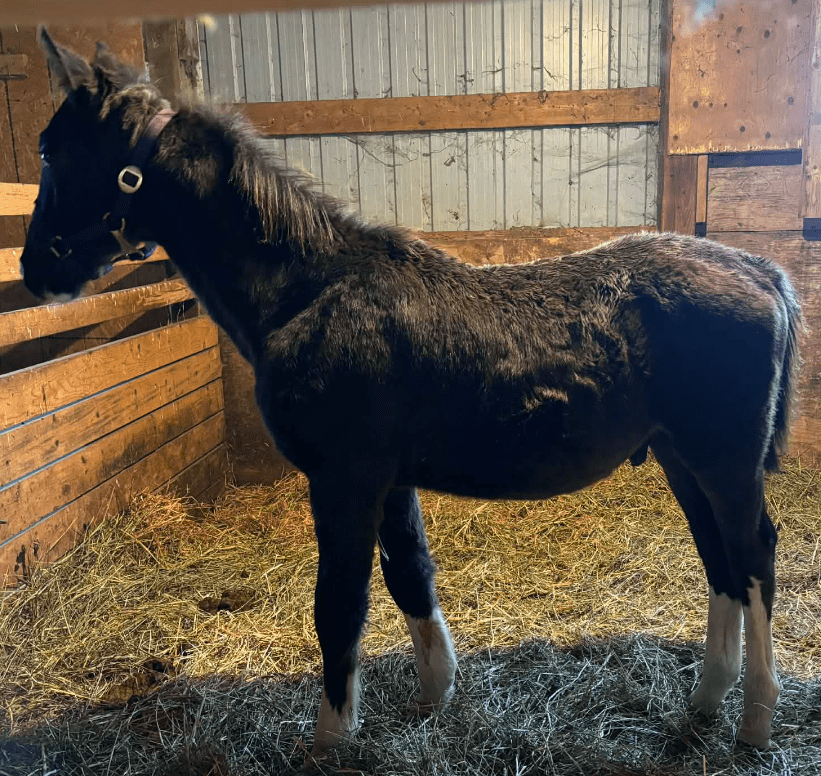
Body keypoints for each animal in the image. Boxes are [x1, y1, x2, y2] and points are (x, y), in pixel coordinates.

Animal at [22, 29, 801, 759]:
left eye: (51, 152)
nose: (33, 269)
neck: (311, 289)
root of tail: (760, 271)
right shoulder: (389, 481)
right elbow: (410, 577)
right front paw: (433, 696)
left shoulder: (343, 478)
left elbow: (339, 604)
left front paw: (331, 738)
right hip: (681, 460)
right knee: (721, 564)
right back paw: (705, 702)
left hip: (725, 464)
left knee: (754, 557)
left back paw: (755, 721)